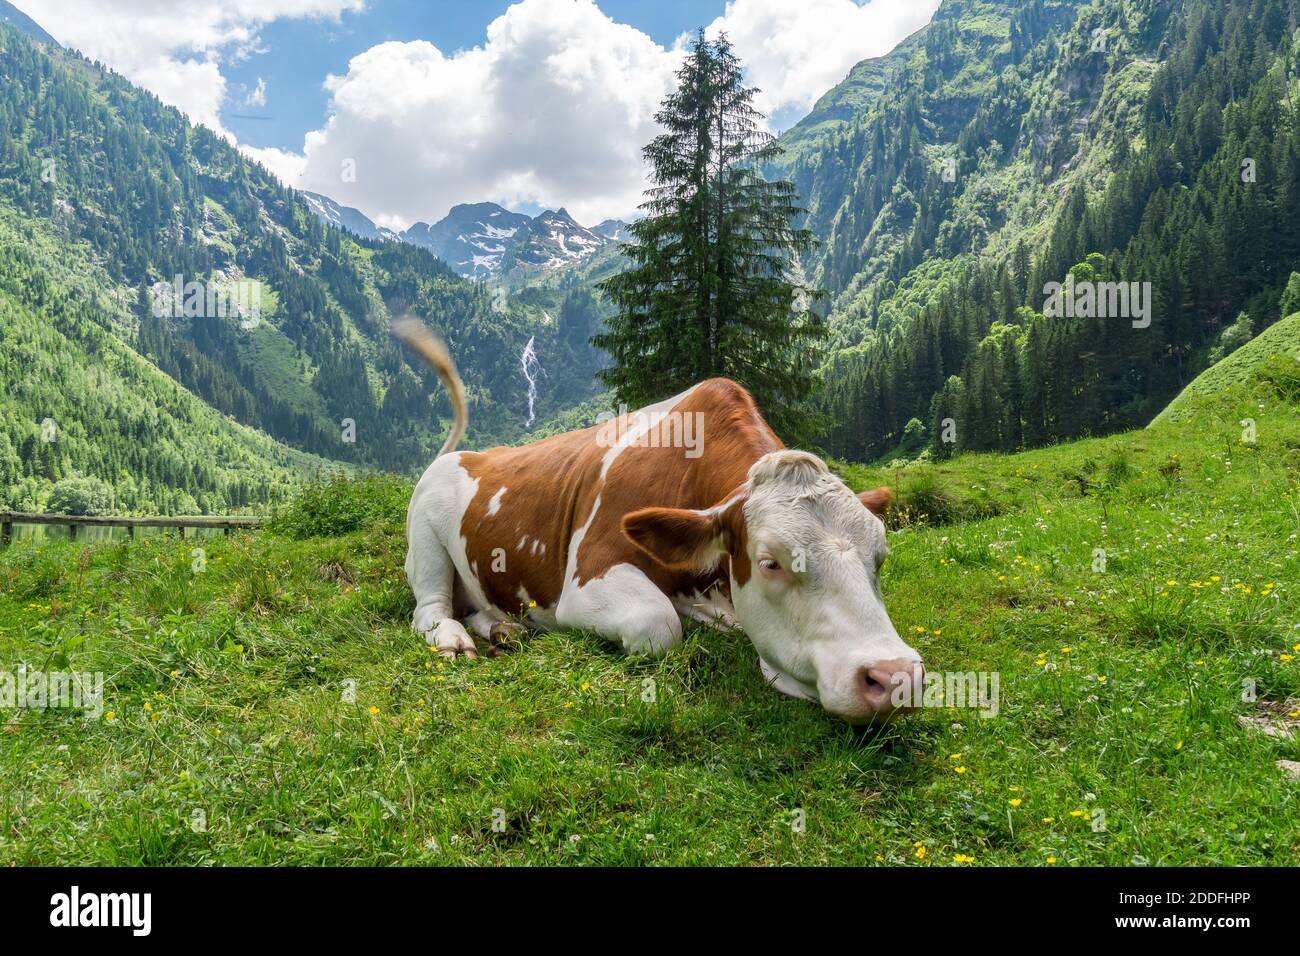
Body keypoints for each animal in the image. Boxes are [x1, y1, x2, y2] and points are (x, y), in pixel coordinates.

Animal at [393, 319, 923, 723]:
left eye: (880, 557)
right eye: (769, 563)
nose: (895, 676)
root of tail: (465, 454)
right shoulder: (588, 576)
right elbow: (659, 624)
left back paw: (504, 629)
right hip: (426, 542)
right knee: (431, 610)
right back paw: (455, 640)